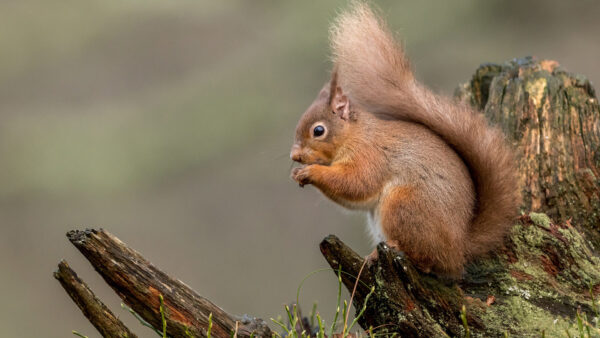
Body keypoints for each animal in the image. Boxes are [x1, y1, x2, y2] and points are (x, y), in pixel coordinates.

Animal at [288, 3, 516, 278]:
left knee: (427, 259)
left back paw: (389, 252)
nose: (294, 156)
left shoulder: (370, 155)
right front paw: (298, 173)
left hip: (403, 205)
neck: (355, 135)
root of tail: (458, 250)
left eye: (318, 131)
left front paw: (310, 172)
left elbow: (356, 182)